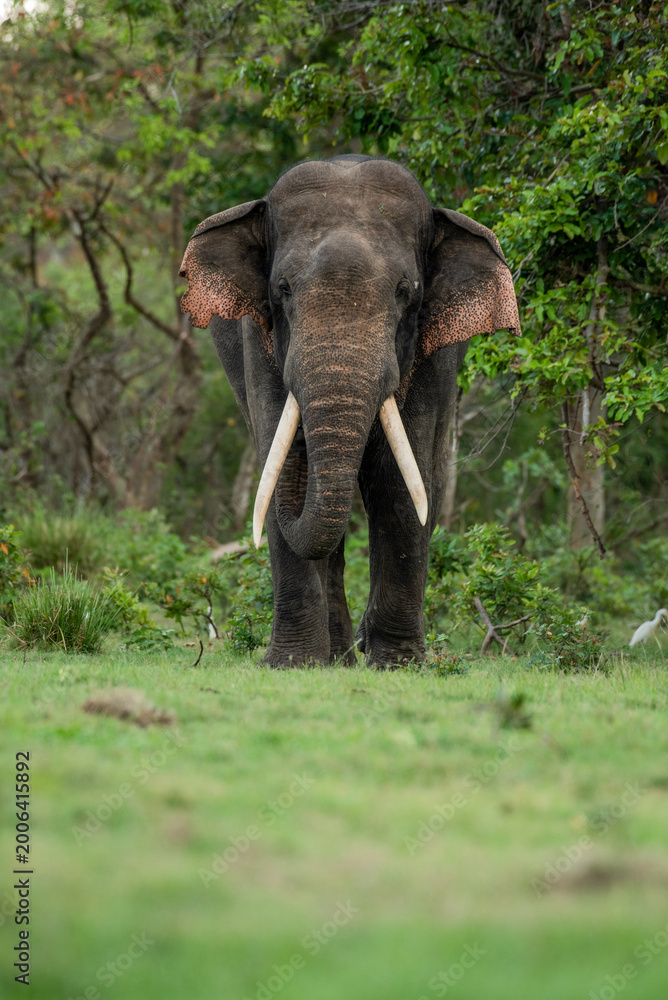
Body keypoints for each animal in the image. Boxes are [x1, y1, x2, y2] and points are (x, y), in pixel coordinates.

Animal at [179, 155, 519, 666]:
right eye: (282, 289)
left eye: (405, 292)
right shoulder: (255, 340)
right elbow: (276, 464)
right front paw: (294, 664)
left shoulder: (431, 355)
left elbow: (399, 481)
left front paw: (397, 665)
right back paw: (337, 655)